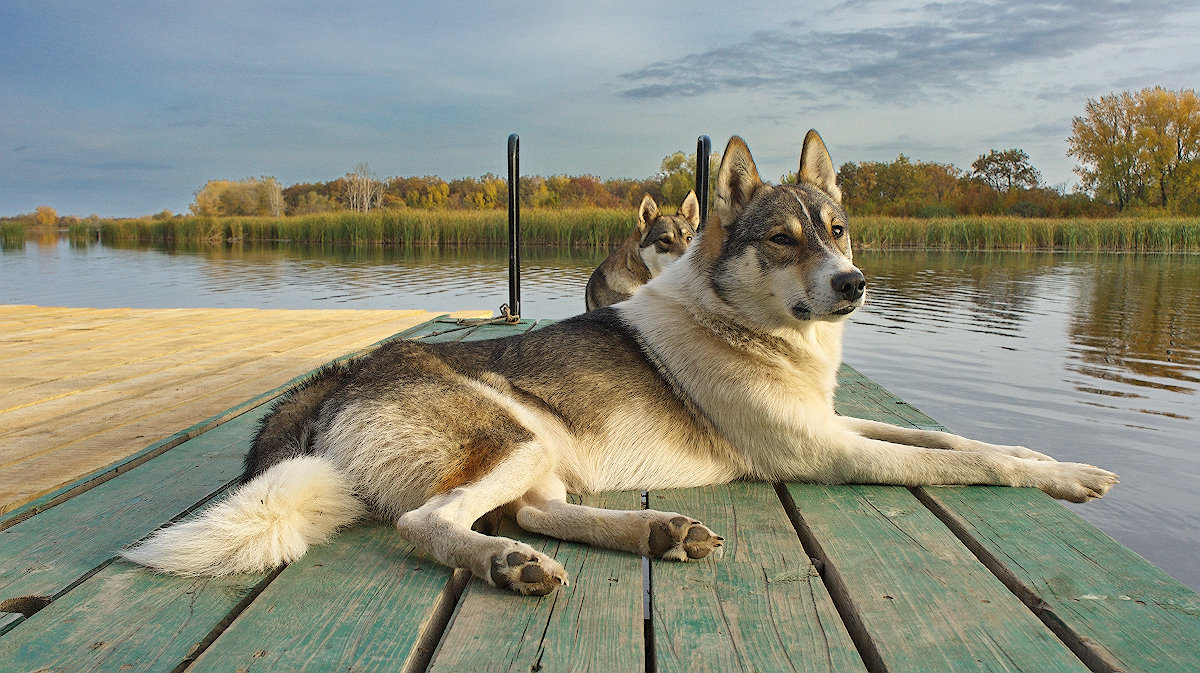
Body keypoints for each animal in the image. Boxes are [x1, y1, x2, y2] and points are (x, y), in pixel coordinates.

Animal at [124, 130, 1113, 592]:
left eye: (836, 230)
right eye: (783, 239)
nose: (855, 284)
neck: (748, 327)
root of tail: (343, 377)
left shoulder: (837, 421)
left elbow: (955, 439)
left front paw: (1051, 460)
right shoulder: (828, 451)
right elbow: (966, 462)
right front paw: (1055, 476)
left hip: (543, 451)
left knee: (532, 510)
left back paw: (653, 532)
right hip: (511, 435)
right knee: (436, 521)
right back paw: (504, 566)